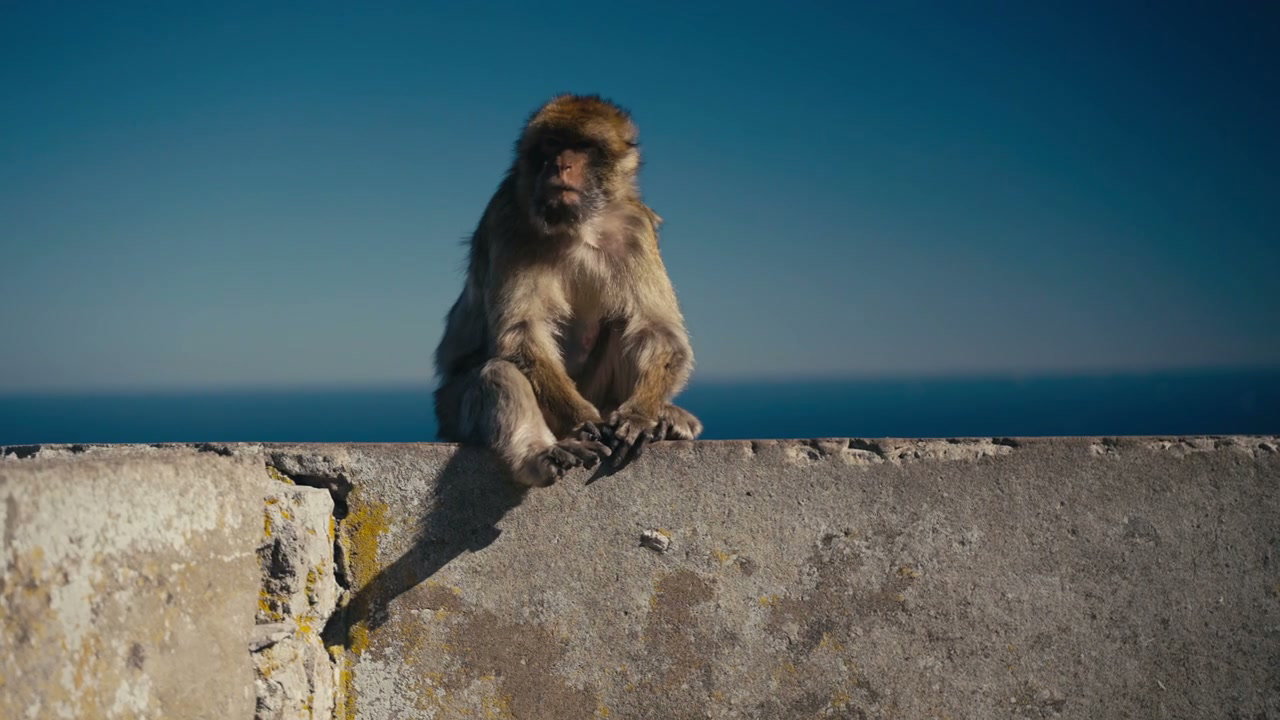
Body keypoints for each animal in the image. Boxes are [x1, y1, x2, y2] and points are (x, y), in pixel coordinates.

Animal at [433, 94, 701, 487]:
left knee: (625, 326)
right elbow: (521, 333)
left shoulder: (636, 229)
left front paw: (638, 416)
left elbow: (656, 330)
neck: (577, 225)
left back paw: (662, 415)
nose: (561, 164)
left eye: (584, 147)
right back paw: (544, 454)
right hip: (450, 409)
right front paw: (584, 420)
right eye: (552, 144)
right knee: (497, 373)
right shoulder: (508, 219)